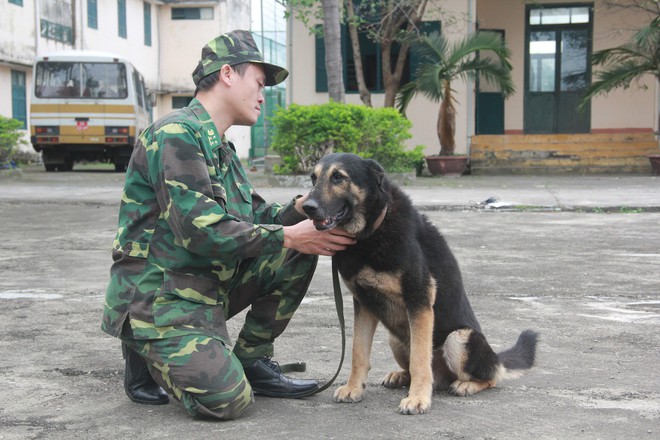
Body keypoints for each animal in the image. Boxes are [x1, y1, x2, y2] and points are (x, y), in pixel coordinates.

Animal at [302, 153, 540, 414]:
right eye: (313, 178)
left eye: (338, 177)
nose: (306, 207)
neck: (373, 230)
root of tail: (496, 358)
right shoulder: (364, 304)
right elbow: (358, 353)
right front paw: (353, 388)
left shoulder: (419, 299)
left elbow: (419, 360)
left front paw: (417, 398)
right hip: (395, 338)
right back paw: (400, 376)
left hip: (459, 338)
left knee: (489, 377)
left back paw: (465, 385)